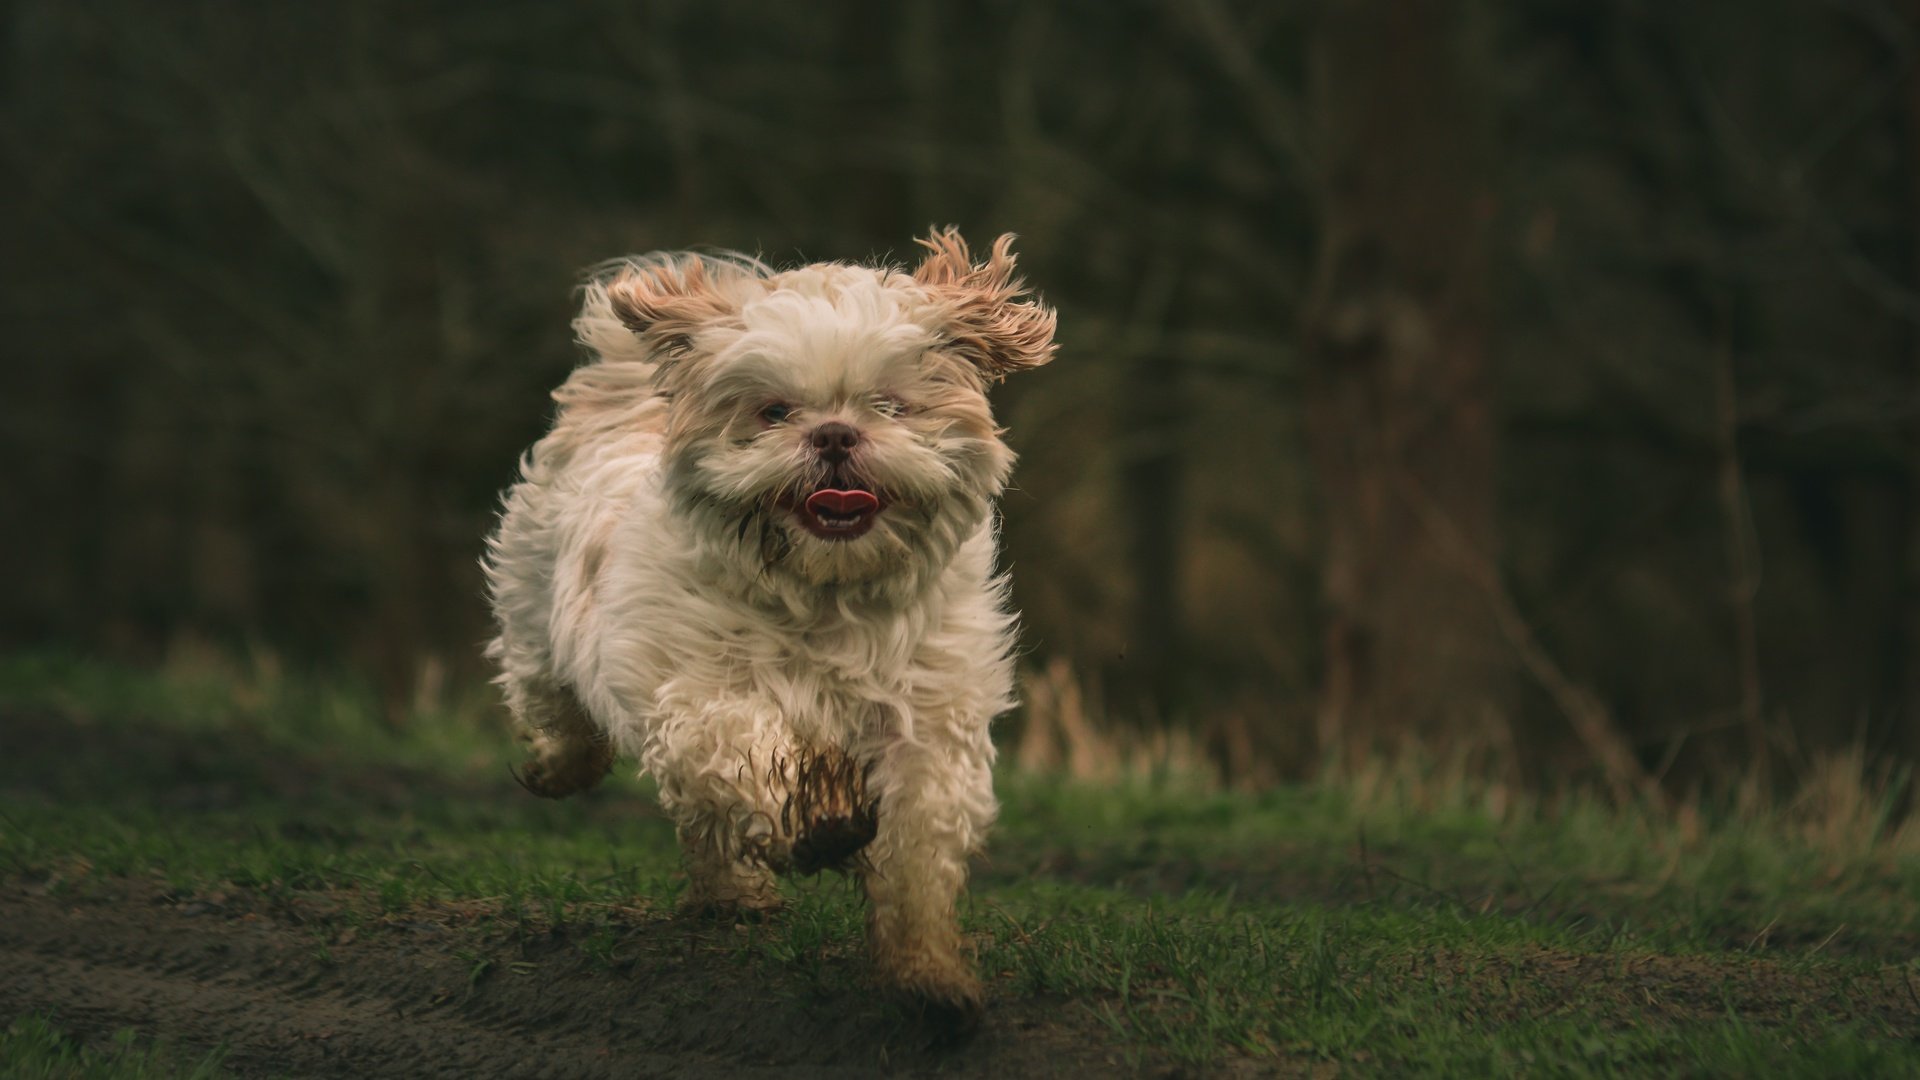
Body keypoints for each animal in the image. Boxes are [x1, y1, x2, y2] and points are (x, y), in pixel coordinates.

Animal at [480, 226, 1052, 1014]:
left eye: (889, 405)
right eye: (775, 412)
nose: (835, 434)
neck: (826, 592)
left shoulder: (929, 723)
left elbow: (918, 851)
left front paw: (928, 973)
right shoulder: (700, 696)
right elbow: (749, 750)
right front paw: (821, 818)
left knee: (700, 821)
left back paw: (733, 894)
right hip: (535, 609)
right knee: (553, 703)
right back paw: (563, 766)